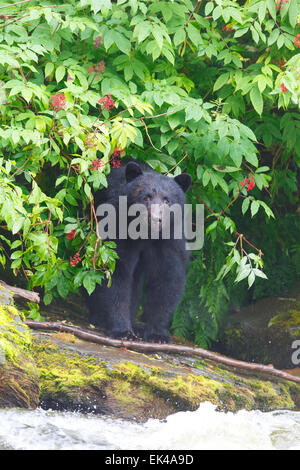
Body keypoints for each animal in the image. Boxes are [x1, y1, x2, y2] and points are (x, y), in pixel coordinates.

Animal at [88, 161, 192, 342]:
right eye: (146, 197)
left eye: (167, 200)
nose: (156, 219)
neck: (146, 234)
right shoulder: (119, 229)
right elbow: (117, 273)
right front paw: (122, 331)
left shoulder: (170, 241)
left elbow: (167, 279)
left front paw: (157, 335)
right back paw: (99, 316)